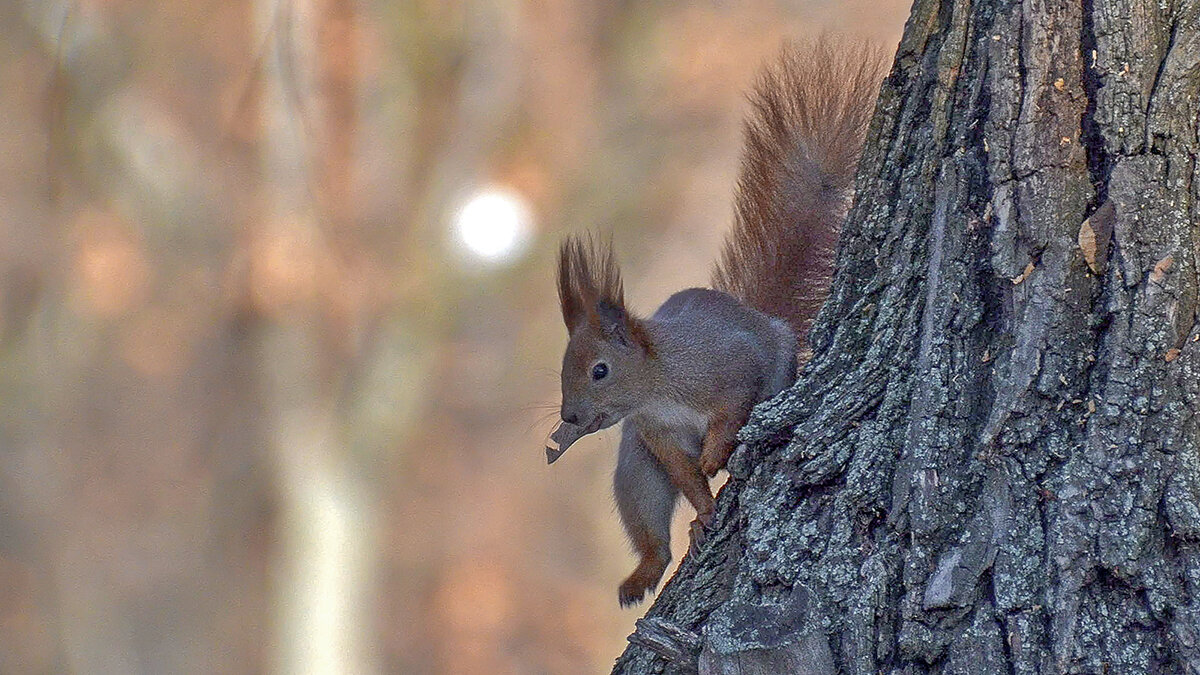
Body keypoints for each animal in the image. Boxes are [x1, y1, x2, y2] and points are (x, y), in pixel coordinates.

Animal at [549, 38, 888, 605]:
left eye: (599, 370)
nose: (570, 417)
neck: (657, 388)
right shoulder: (656, 434)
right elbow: (685, 478)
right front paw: (704, 512)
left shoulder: (728, 365)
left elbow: (730, 408)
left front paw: (713, 455)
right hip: (634, 462)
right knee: (649, 523)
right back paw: (646, 570)